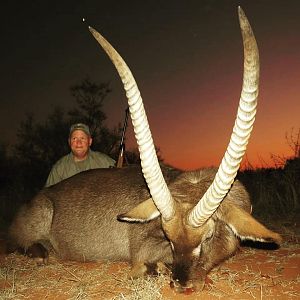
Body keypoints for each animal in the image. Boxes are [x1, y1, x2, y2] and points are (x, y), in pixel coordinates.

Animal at [9, 7, 282, 292]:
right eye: (169, 238)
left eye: (207, 237)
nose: (181, 284)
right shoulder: (143, 247)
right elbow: (146, 261)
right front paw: (153, 268)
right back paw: (42, 253)